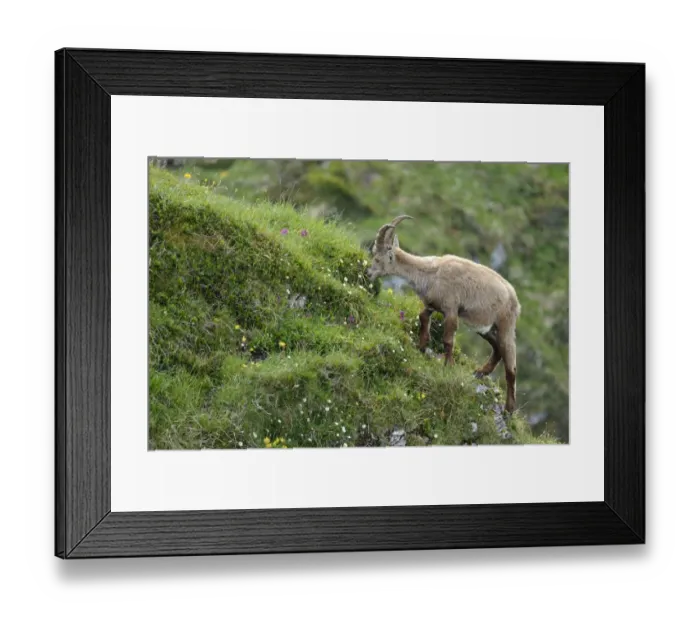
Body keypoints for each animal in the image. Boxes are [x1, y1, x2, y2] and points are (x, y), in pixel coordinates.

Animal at [366, 215, 522, 413]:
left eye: (378, 258)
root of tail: (514, 298)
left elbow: (448, 340)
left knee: (511, 365)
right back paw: (480, 372)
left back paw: (509, 408)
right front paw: (421, 346)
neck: (432, 273)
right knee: (497, 349)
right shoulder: (432, 305)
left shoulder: (451, 309)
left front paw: (448, 366)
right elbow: (423, 316)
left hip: (505, 324)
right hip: (485, 328)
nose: (368, 273)